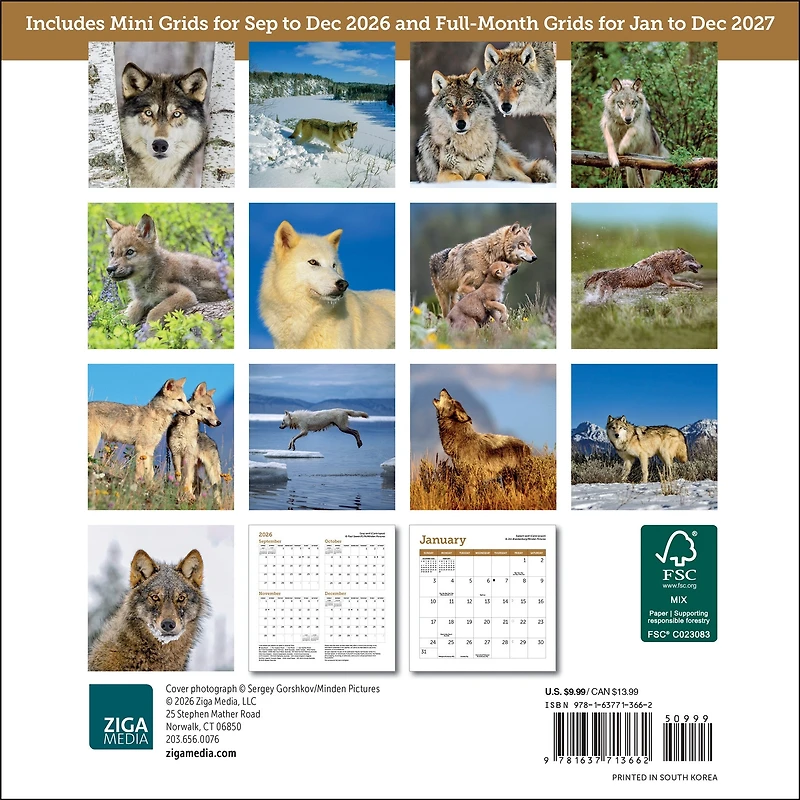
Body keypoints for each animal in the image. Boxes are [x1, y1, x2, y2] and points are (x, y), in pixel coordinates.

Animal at [414, 68, 555, 183]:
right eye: (450, 105)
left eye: (469, 103)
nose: (461, 124)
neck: (468, 145)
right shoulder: (444, 172)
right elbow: (458, 178)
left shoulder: (483, 172)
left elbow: (479, 177)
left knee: (528, 179)